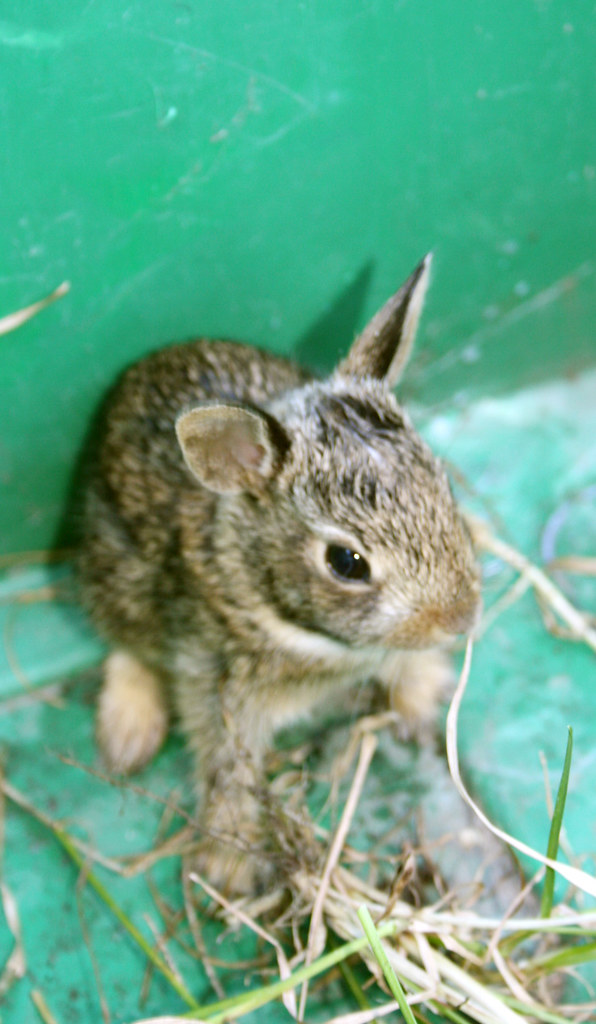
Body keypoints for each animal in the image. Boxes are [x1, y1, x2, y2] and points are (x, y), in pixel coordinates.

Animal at [78, 255, 481, 894]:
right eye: (346, 563)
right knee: (125, 643)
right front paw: (230, 862)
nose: (462, 618)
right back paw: (127, 738)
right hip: (113, 574)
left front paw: (420, 704)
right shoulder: (215, 679)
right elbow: (229, 763)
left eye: (443, 487)